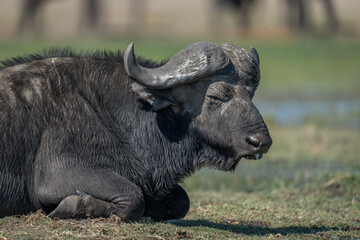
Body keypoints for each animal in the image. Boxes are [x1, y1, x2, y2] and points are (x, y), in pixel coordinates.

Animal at [0, 40, 270, 220]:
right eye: (216, 96)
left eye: (250, 93)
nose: (261, 141)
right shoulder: (59, 172)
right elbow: (133, 196)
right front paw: (73, 205)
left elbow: (181, 200)